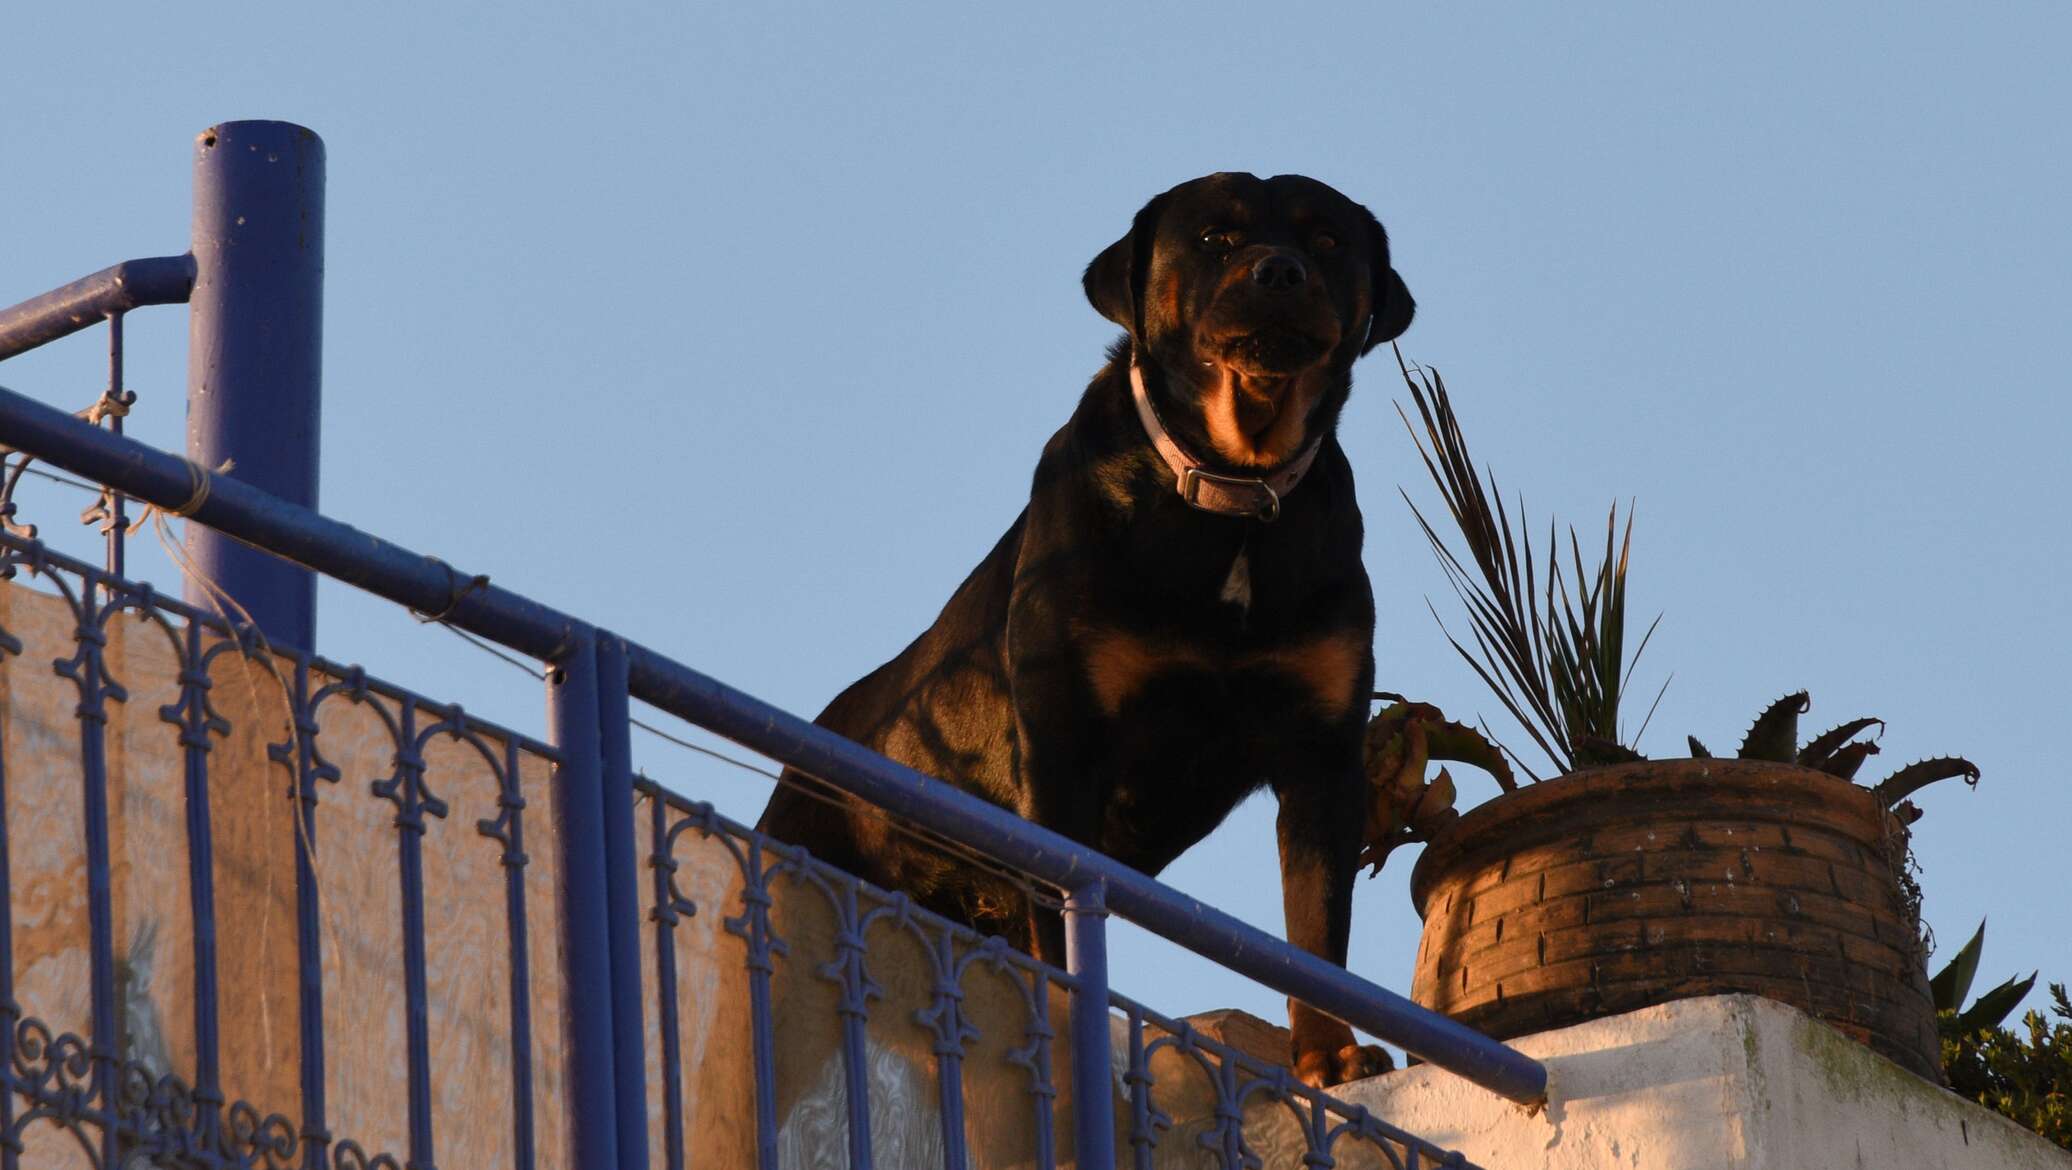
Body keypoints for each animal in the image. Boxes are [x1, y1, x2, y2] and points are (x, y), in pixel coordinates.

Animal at [770, 172, 1417, 1085]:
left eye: (1326, 240)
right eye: (1214, 239)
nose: (1280, 271)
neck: (1231, 496)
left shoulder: (1324, 757)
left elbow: (1317, 933)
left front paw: (1331, 1054)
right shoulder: (1062, 742)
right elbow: (1065, 924)